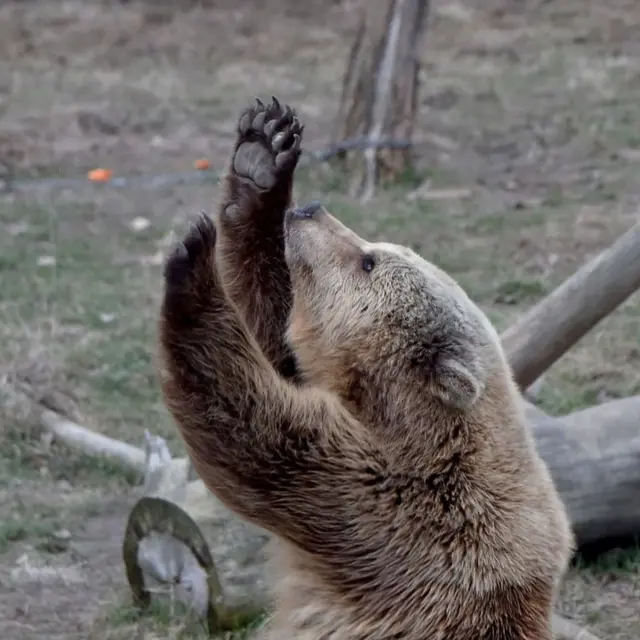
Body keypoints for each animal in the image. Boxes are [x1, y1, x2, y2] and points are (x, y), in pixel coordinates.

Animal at [158, 97, 574, 640]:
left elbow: (253, 436)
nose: (309, 209)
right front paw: (264, 152)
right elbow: (277, 337)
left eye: (368, 260)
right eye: (375, 247)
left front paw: (193, 265)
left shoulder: (389, 505)